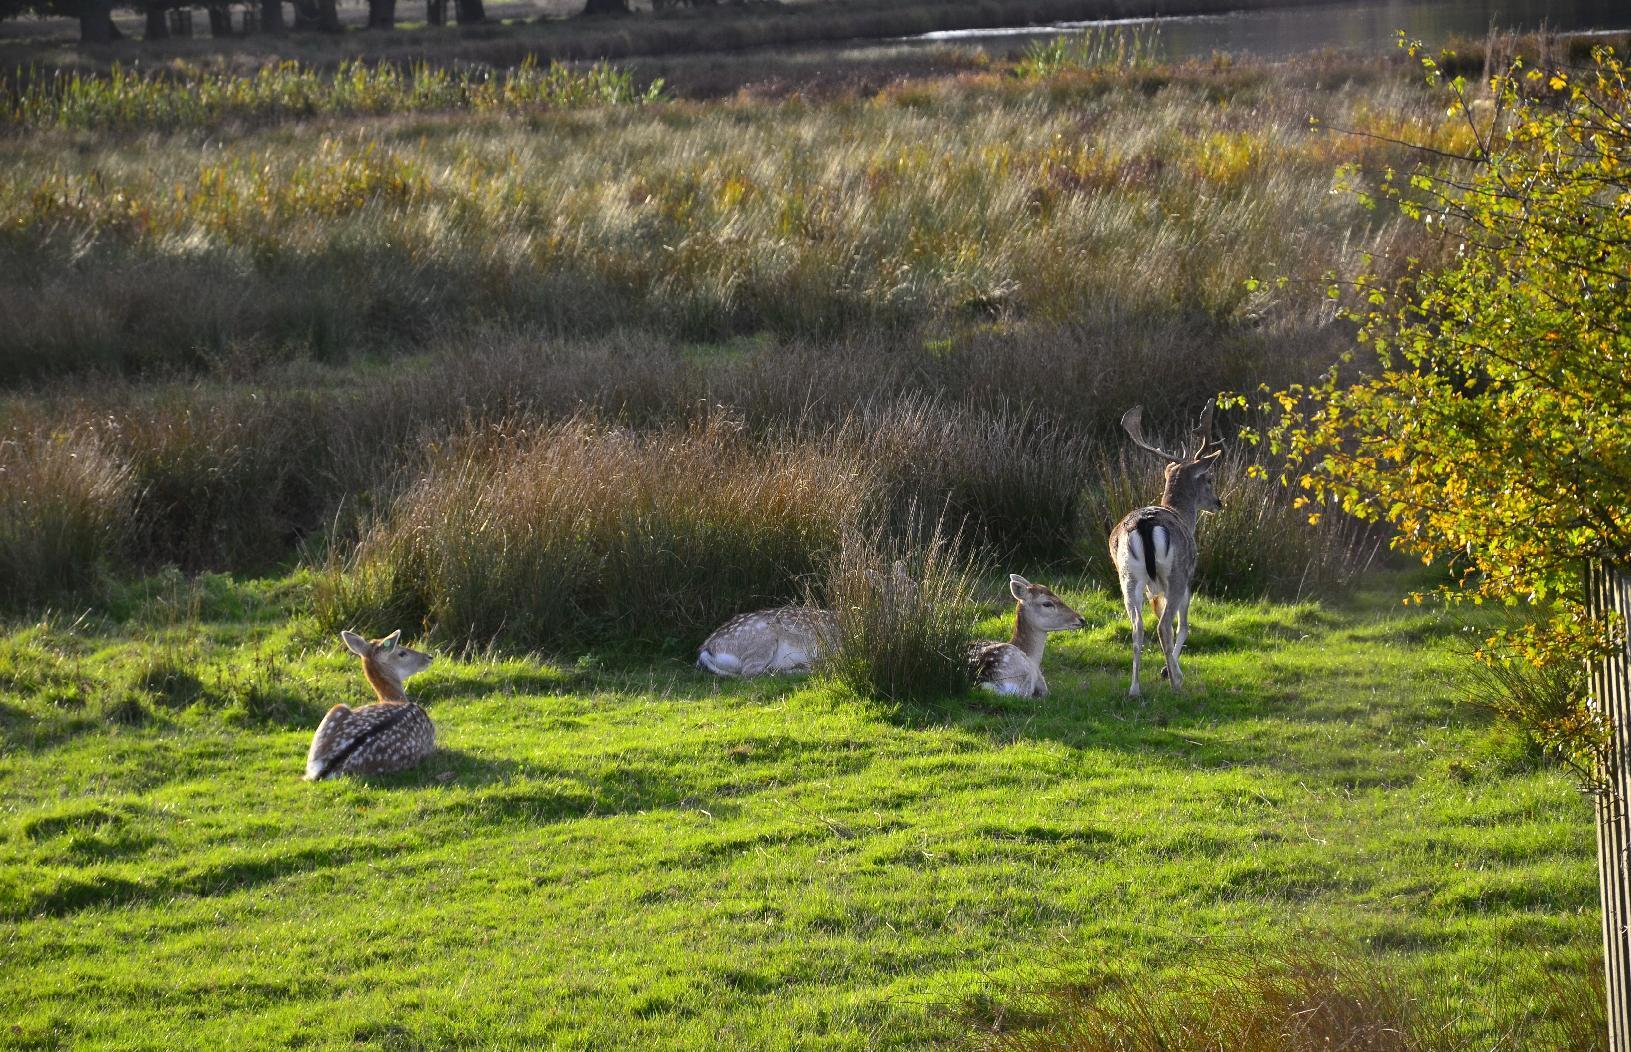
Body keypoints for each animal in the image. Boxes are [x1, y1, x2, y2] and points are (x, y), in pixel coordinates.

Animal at [694, 561, 913, 678]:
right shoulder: (838, 650)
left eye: (914, 585)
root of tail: (706, 648)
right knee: (752, 672)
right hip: (761, 640)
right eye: (893, 592)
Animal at [1109, 402, 1226, 698]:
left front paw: (1168, 670)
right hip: (1175, 574)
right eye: (1208, 479)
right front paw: (1172, 673)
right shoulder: (1188, 580)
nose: (1219, 503)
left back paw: (1134, 689)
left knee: (1137, 626)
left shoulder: (1154, 589)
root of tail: (1144, 523)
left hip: (1128, 577)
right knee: (1164, 626)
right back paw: (1174, 686)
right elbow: (1182, 627)